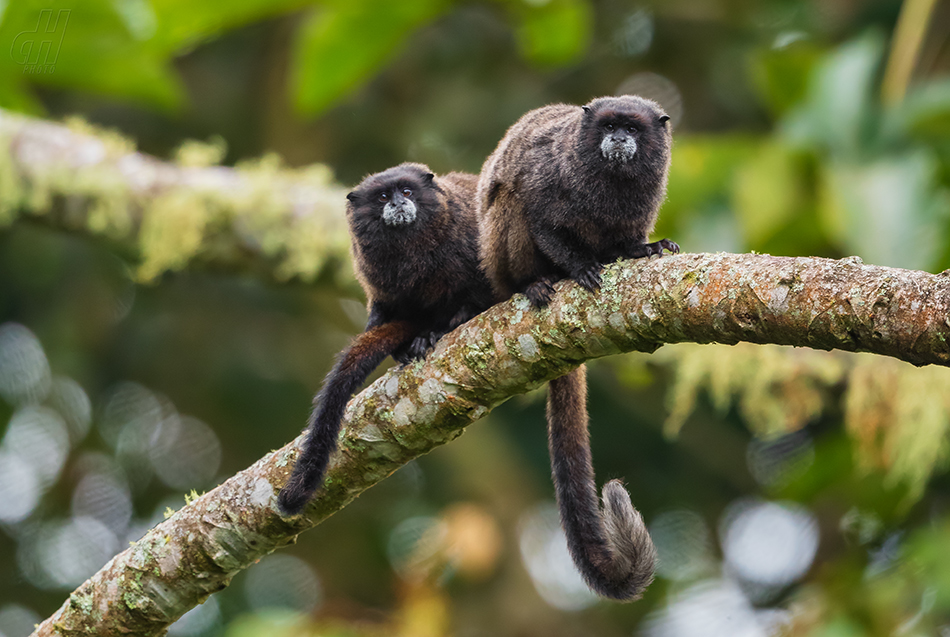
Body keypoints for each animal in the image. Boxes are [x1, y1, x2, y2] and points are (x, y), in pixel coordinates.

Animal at [278, 161, 494, 516]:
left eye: (406, 191)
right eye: (382, 197)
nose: (397, 202)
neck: (412, 249)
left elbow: (477, 294)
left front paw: (444, 328)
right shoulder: (373, 272)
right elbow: (382, 310)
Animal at [480, 93, 680, 596]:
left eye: (633, 128)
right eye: (609, 126)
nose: (619, 138)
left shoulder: (648, 193)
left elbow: (630, 236)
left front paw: (642, 249)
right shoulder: (551, 174)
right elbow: (539, 215)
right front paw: (579, 266)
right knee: (510, 201)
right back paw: (533, 282)